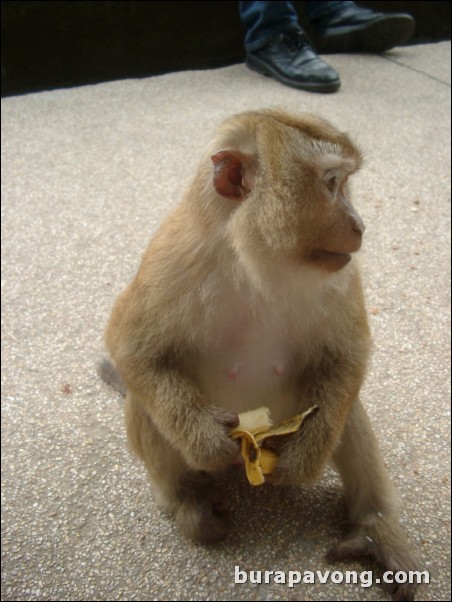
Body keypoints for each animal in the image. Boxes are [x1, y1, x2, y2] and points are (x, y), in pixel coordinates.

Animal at [102, 110, 420, 596]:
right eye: (332, 183)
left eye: (346, 183)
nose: (360, 225)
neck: (257, 259)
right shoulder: (174, 255)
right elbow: (133, 348)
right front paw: (204, 438)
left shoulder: (342, 274)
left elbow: (346, 355)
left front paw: (307, 459)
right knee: (143, 401)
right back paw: (187, 501)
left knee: (346, 412)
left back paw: (374, 527)